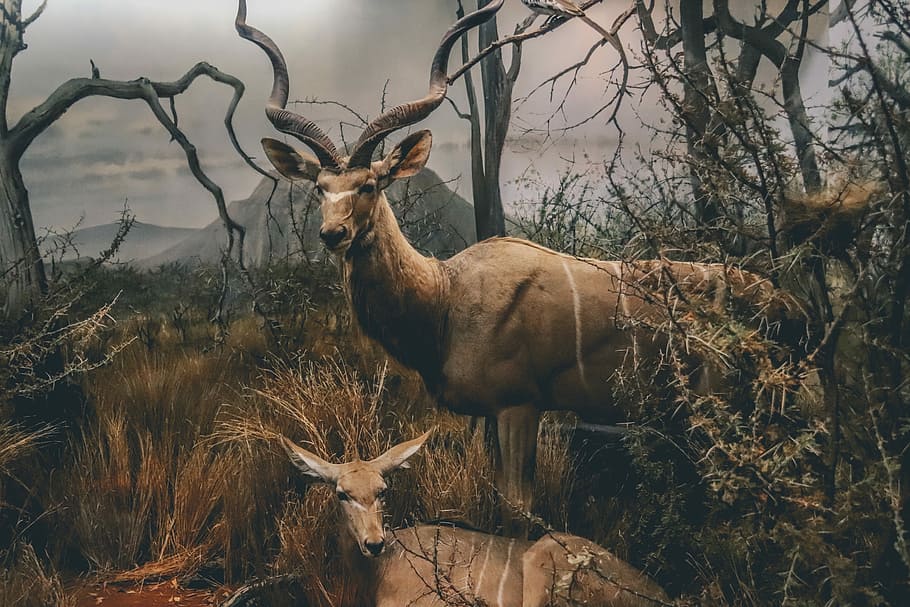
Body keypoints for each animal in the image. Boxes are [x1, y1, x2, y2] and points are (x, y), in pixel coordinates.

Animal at [236, 0, 802, 523]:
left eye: (371, 184)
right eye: (320, 188)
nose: (333, 233)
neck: (445, 296)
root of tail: (788, 303)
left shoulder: (518, 406)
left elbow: (518, 507)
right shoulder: (491, 415)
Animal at [272, 429, 671, 607]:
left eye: (382, 490)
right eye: (342, 493)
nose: (373, 542)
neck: (378, 573)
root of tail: (660, 594)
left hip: (543, 563)